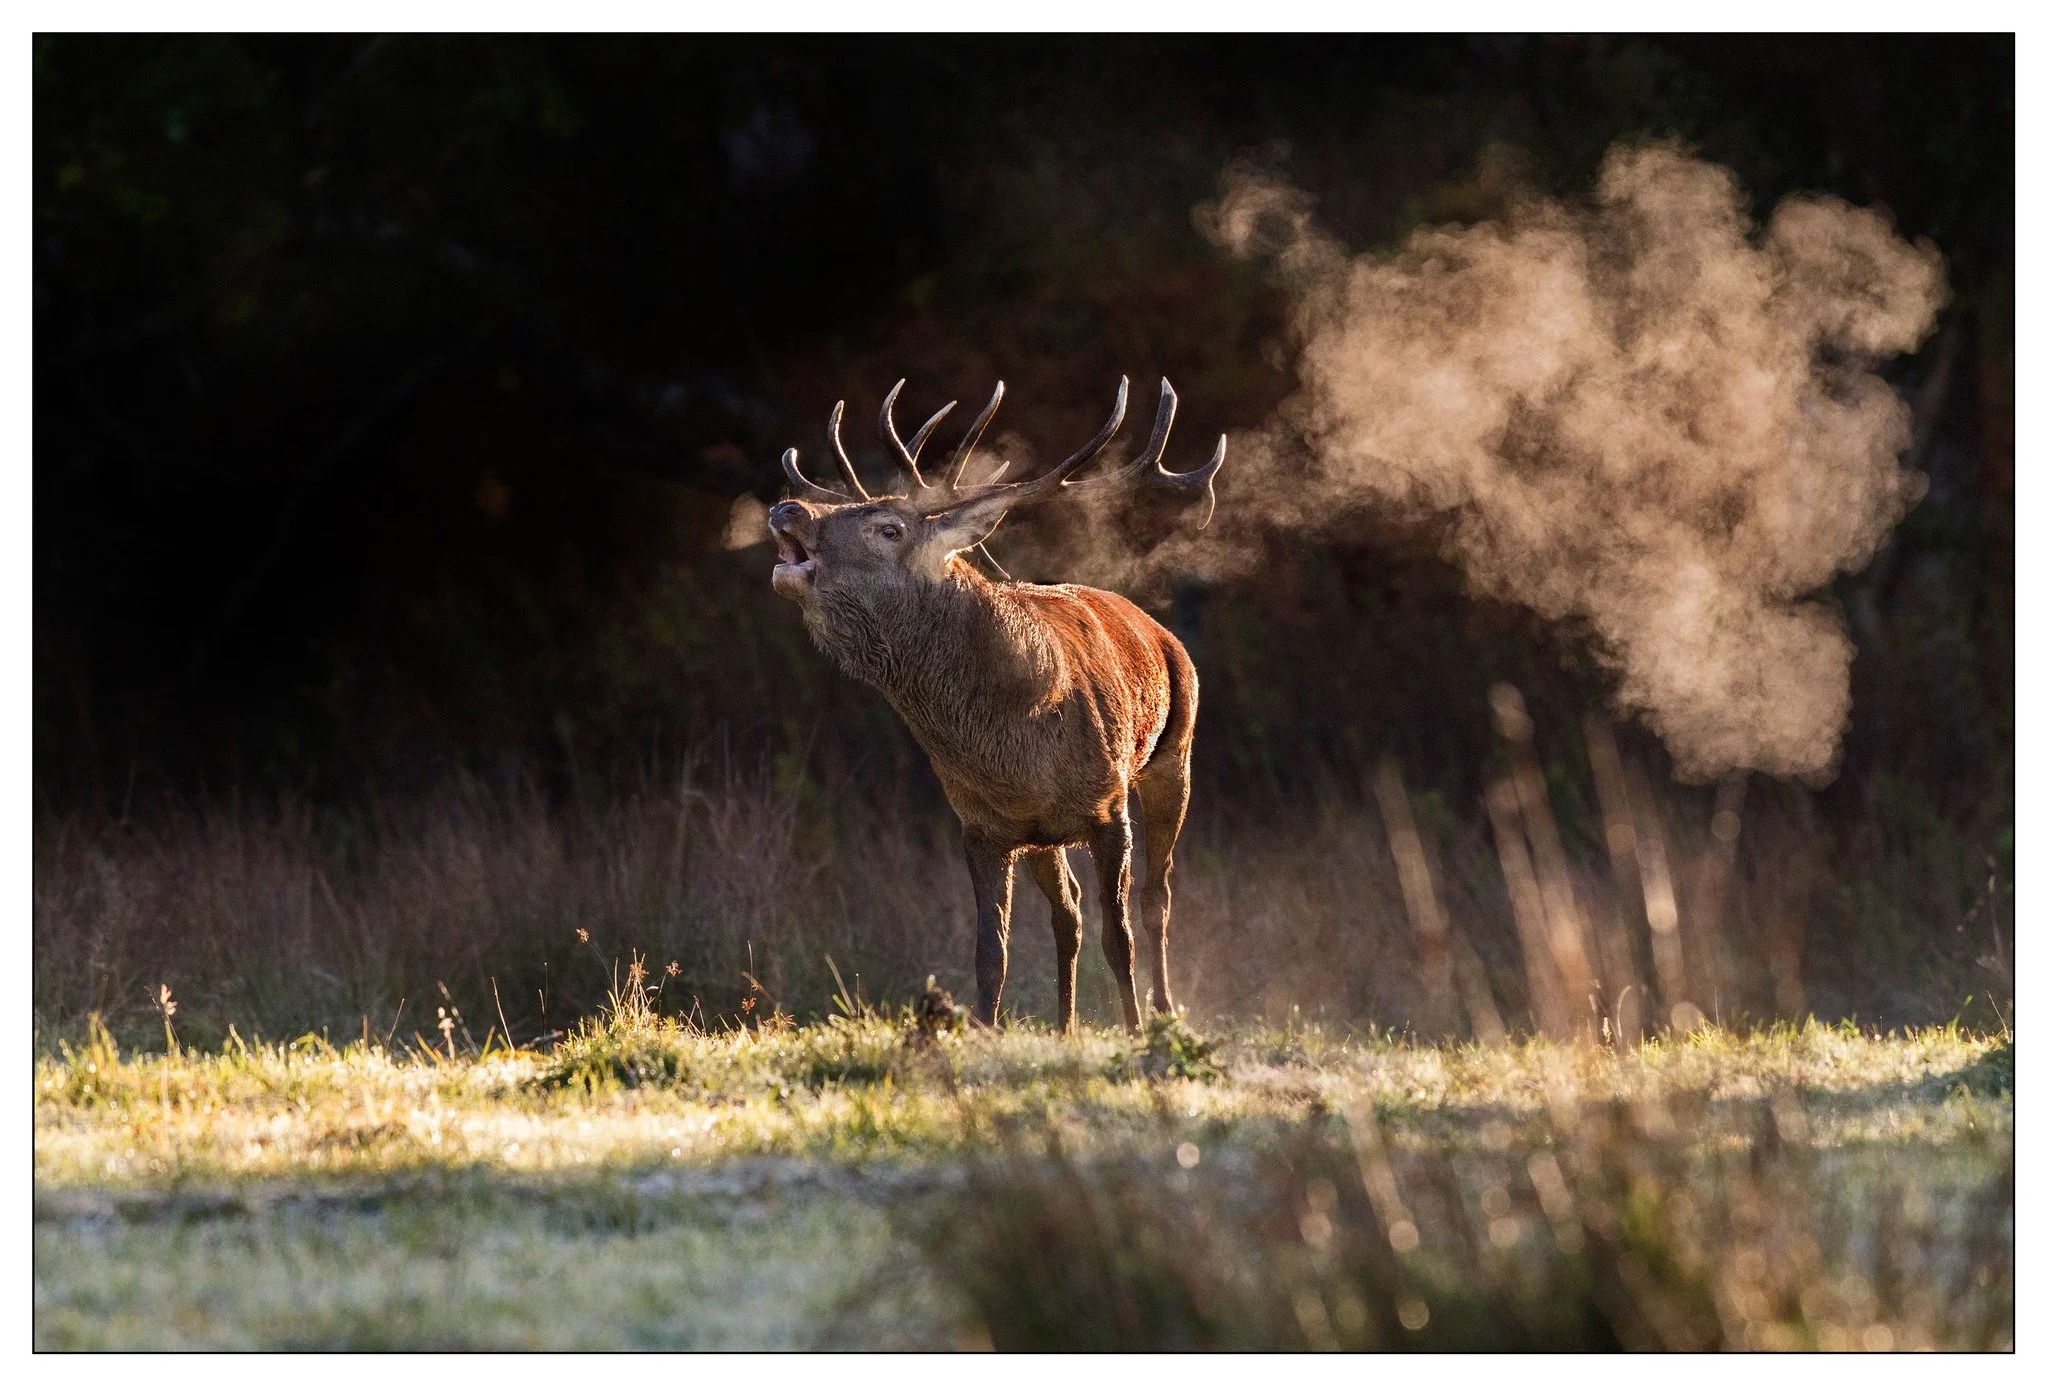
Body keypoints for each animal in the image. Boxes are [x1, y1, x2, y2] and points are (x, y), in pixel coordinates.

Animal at [766, 376, 1225, 1034]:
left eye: (889, 528)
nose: (787, 509)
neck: (1012, 745)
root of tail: (1160, 630)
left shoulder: (1107, 805)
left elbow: (1120, 936)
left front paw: (1136, 1032)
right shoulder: (982, 824)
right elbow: (992, 951)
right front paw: (983, 1031)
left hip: (1173, 758)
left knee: (1154, 899)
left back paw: (1163, 1013)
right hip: (1045, 836)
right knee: (1070, 911)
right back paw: (1065, 1027)